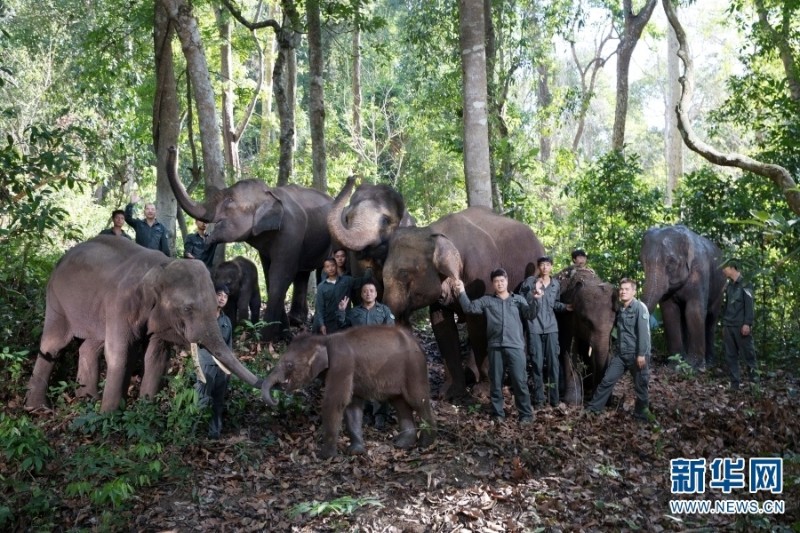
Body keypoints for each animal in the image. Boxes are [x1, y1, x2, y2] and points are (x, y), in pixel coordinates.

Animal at [25, 235, 268, 414]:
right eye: (187, 309)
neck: (162, 266)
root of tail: (62, 259)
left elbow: (157, 356)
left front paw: (146, 407)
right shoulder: (121, 303)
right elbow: (120, 354)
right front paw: (110, 416)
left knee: (90, 346)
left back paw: (87, 399)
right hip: (57, 300)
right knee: (53, 344)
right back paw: (38, 409)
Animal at [167, 145, 332, 340]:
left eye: (230, 201)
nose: (172, 148)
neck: (271, 192)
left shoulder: (291, 232)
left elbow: (281, 275)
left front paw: (266, 337)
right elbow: (269, 273)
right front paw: (280, 332)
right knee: (302, 274)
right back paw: (296, 321)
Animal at [262, 324, 438, 458]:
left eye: (289, 365)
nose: (276, 398)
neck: (324, 339)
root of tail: (416, 342)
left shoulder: (342, 363)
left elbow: (335, 402)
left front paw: (325, 456)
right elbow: (352, 405)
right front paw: (355, 451)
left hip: (414, 367)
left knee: (418, 401)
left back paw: (425, 444)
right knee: (400, 403)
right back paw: (402, 444)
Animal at [644, 222, 724, 368]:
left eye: (671, 262)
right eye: (644, 261)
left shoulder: (700, 271)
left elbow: (694, 311)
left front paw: (695, 366)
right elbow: (670, 312)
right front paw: (675, 363)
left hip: (721, 287)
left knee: (711, 319)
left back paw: (709, 363)